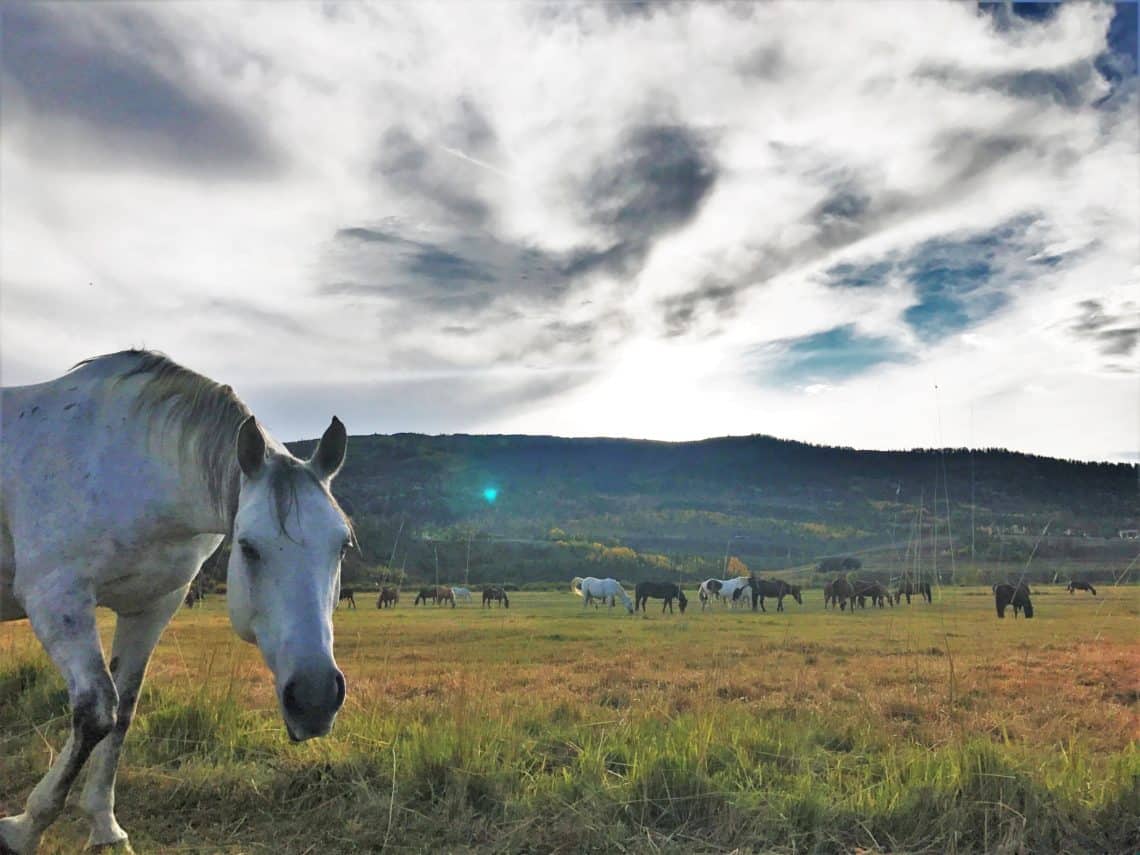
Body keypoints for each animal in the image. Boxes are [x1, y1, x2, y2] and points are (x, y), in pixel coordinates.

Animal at [0, 348, 353, 855]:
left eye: (342, 546)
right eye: (248, 547)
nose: (315, 699)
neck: (130, 467)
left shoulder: (152, 607)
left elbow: (122, 711)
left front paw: (105, 827)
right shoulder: (54, 596)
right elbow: (95, 711)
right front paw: (25, 826)